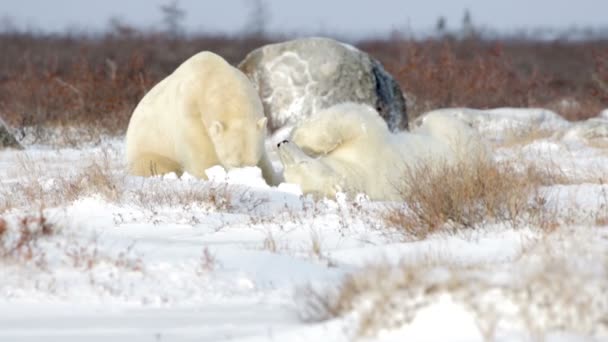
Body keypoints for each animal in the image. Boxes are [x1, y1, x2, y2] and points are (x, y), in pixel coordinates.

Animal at [127, 50, 282, 184]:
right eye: (233, 163)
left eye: (253, 162)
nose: (247, 177)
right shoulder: (190, 111)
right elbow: (200, 153)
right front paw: (211, 175)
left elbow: (265, 162)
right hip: (149, 148)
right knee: (151, 164)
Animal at [278, 101, 486, 200]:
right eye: (288, 173)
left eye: (303, 162)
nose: (281, 144)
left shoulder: (367, 147)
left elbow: (353, 117)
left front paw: (300, 137)